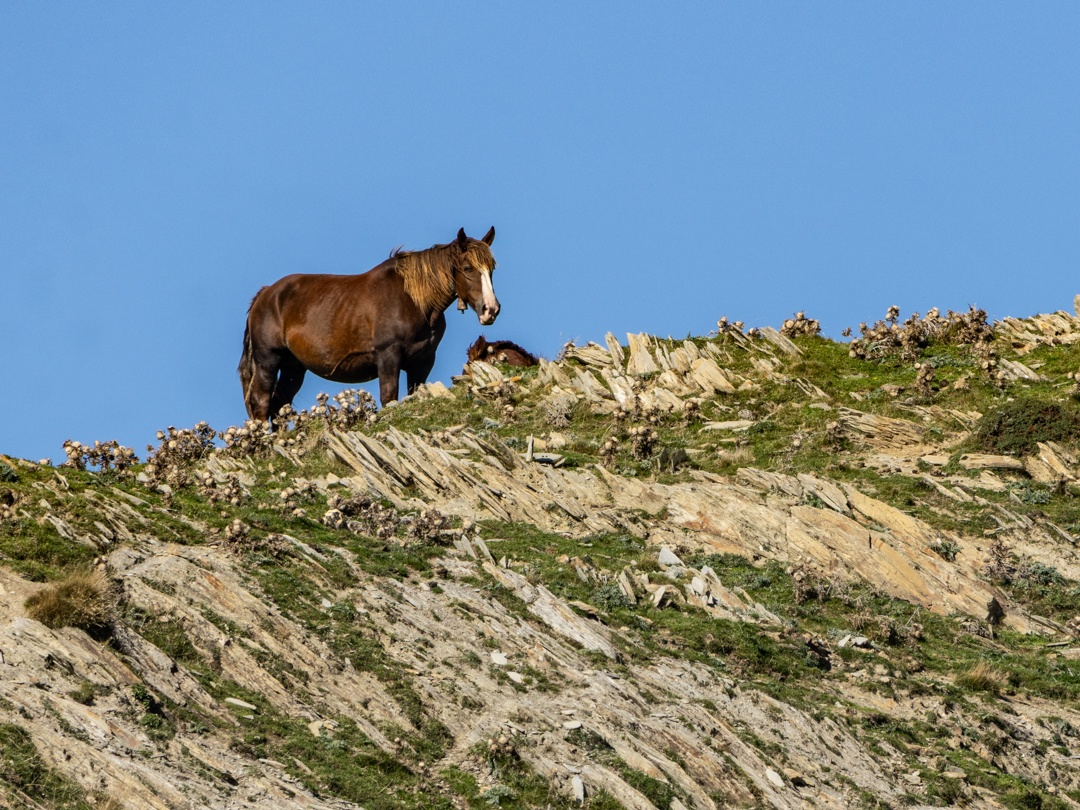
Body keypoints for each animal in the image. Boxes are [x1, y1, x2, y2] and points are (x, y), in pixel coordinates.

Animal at [239, 227, 499, 422]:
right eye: (467, 268)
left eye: (492, 269)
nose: (491, 310)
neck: (413, 300)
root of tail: (265, 294)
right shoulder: (388, 356)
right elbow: (389, 397)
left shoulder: (422, 362)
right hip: (269, 360)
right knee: (261, 402)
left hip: (294, 367)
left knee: (279, 404)